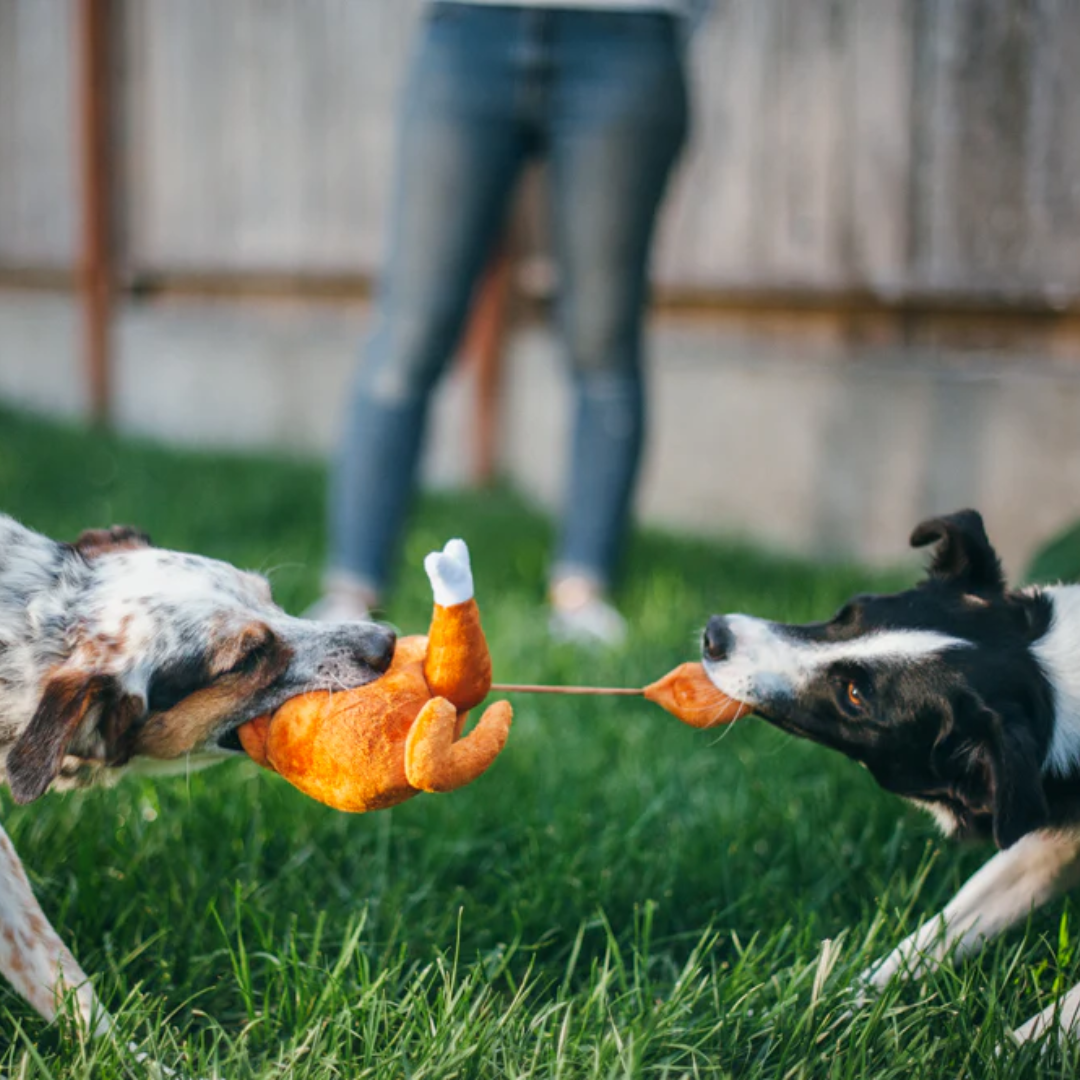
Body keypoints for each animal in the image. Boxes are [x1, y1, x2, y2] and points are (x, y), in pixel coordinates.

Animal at [699, 511, 1080, 1045]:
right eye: (846, 614)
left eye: (855, 695)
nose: (715, 634)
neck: (1058, 685)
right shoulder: (1045, 848)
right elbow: (924, 941)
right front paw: (797, 1021)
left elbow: (1056, 1023)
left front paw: (1011, 1050)